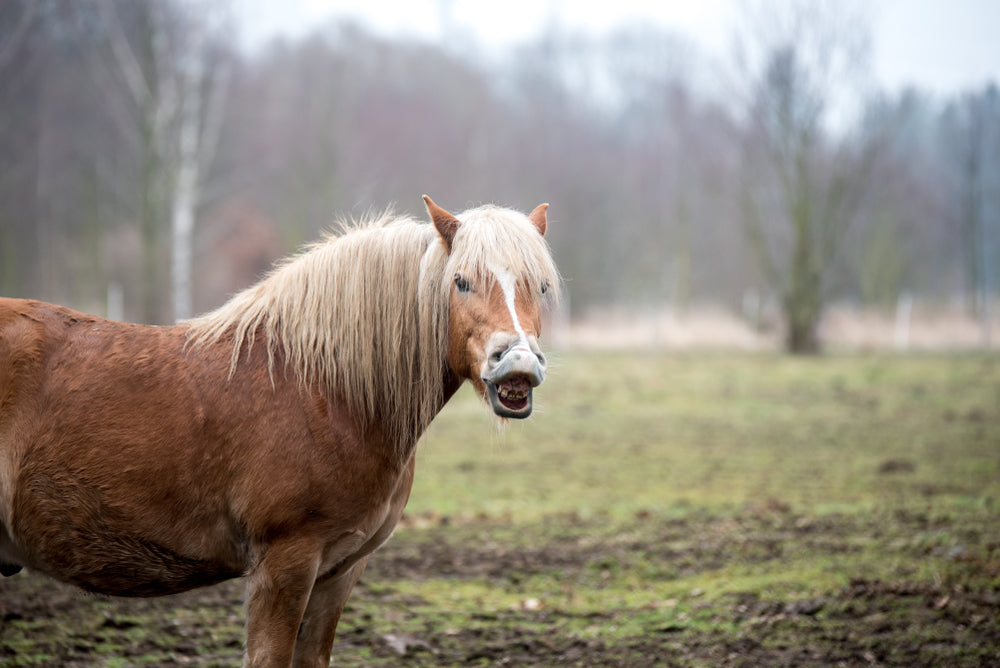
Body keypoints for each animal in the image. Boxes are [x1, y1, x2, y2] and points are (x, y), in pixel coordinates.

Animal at [0, 196, 559, 668]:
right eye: (461, 281)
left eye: (541, 286)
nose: (517, 365)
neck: (323, 388)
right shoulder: (284, 565)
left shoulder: (338, 572)